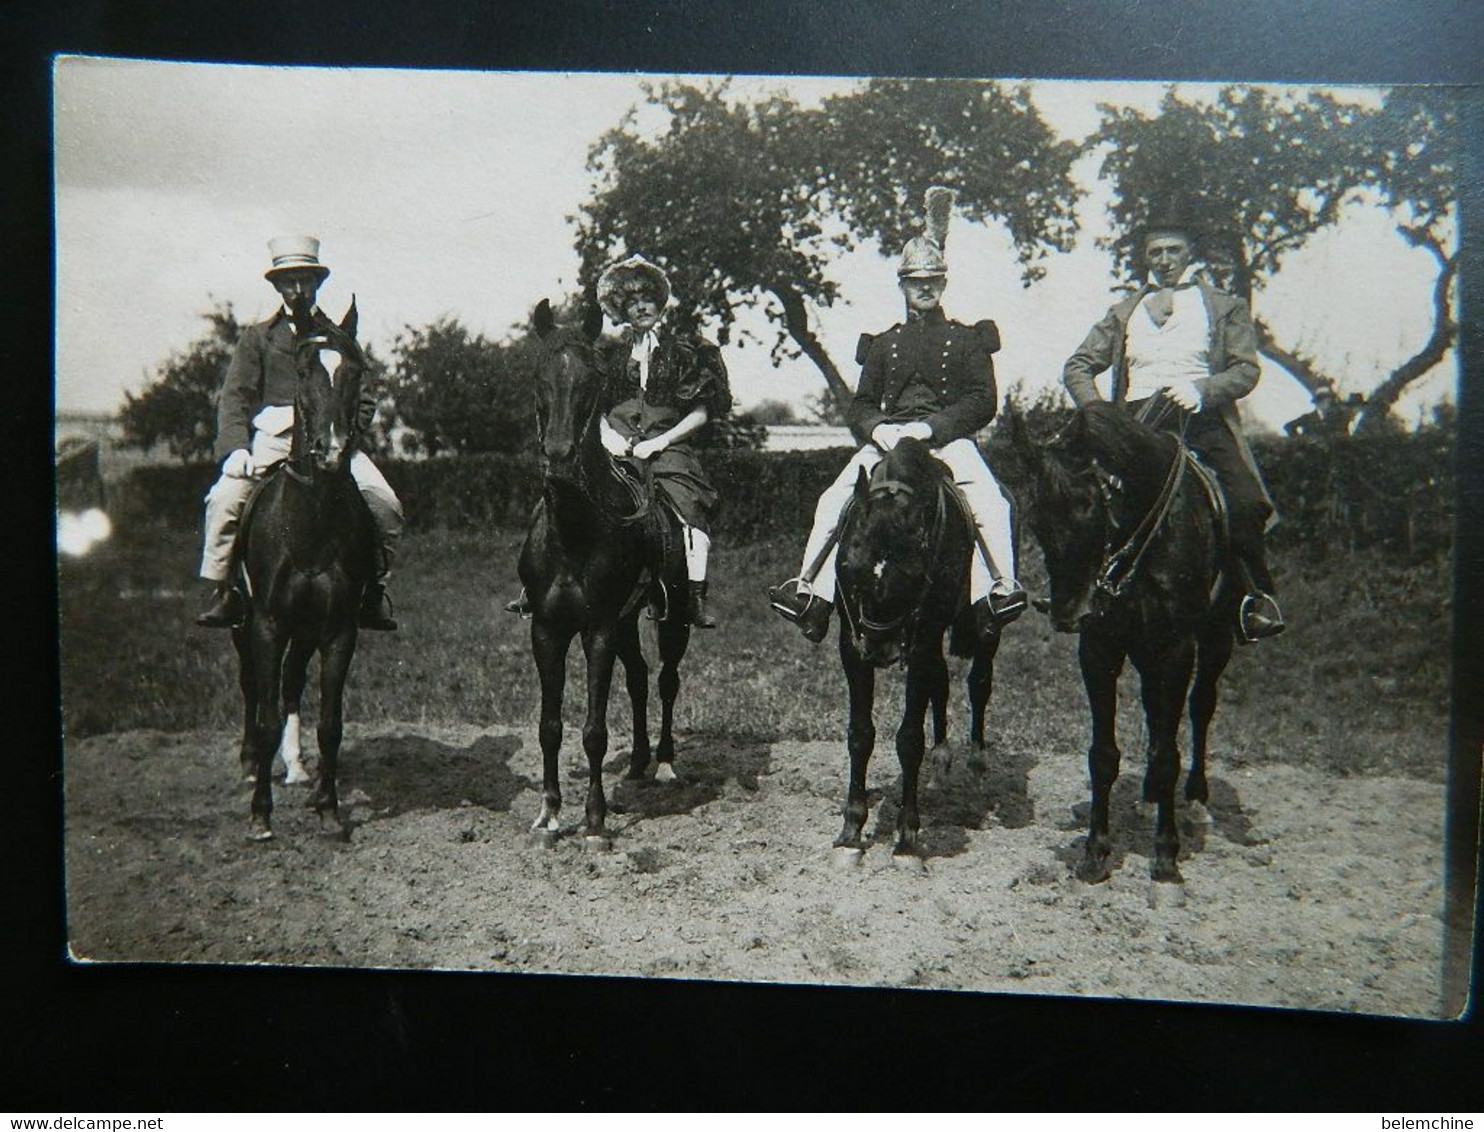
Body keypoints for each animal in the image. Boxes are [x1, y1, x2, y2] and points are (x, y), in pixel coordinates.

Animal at [234, 301, 376, 842]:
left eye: (355, 372)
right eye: (301, 372)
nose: (332, 451)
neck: (311, 519)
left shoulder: (337, 628)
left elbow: (330, 723)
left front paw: (330, 809)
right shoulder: (268, 624)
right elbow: (267, 715)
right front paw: (260, 814)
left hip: (306, 629)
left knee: (292, 683)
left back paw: (298, 770)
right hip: (244, 623)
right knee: (253, 686)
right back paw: (253, 763)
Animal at [519, 296, 691, 848]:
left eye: (592, 379)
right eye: (539, 375)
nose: (558, 455)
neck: (574, 532)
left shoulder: (597, 630)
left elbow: (593, 731)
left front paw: (595, 822)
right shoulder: (546, 630)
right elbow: (550, 726)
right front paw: (550, 815)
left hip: (671, 618)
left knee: (665, 680)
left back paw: (664, 763)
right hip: (626, 622)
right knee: (637, 677)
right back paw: (637, 763)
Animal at [831, 439, 1003, 860]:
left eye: (913, 574)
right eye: (850, 566)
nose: (880, 650)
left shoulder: (921, 642)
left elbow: (909, 739)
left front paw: (907, 835)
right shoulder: (850, 645)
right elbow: (860, 733)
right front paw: (851, 829)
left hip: (984, 632)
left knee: (979, 684)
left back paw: (976, 765)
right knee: (940, 684)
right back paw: (941, 763)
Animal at [1009, 403, 1240, 890]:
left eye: (1087, 504)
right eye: (1036, 515)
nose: (1068, 614)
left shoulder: (1176, 650)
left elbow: (1170, 751)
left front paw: (1166, 854)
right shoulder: (1100, 650)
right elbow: (1103, 755)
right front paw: (1095, 851)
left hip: (1215, 640)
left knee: (1200, 707)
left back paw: (1195, 797)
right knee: (1156, 715)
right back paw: (1151, 792)